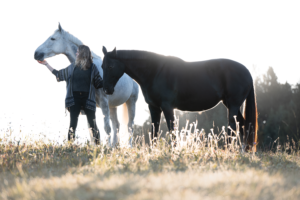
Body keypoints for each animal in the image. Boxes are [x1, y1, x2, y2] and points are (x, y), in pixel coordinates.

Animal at [101, 47, 258, 150]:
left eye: (111, 66)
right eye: (102, 66)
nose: (106, 89)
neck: (155, 72)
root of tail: (248, 73)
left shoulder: (167, 107)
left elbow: (172, 130)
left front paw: (174, 152)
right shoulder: (154, 107)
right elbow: (154, 131)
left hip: (233, 104)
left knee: (234, 127)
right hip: (230, 104)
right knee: (244, 125)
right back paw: (245, 151)